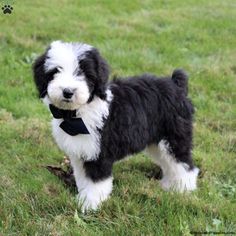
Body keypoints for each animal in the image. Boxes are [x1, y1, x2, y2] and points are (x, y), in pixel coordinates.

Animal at [32, 40, 199, 212]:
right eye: (55, 71)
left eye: (84, 73)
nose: (68, 92)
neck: (76, 114)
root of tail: (176, 85)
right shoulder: (81, 153)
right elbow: (83, 178)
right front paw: (82, 198)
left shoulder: (99, 153)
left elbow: (96, 182)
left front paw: (89, 204)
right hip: (156, 142)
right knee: (169, 163)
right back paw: (169, 186)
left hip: (174, 137)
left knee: (185, 164)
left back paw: (183, 190)